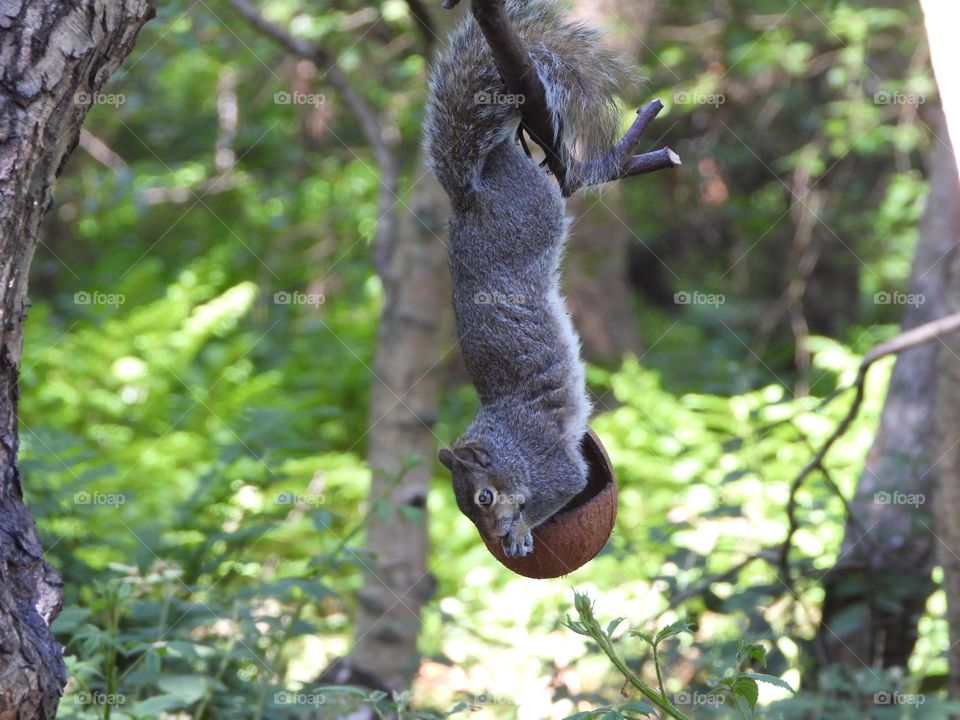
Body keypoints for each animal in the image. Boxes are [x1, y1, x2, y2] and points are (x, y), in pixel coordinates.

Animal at [424, 0, 630, 558]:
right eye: (464, 509)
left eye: (484, 497)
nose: (493, 535)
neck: (508, 445)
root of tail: (469, 195)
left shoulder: (551, 465)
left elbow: (563, 489)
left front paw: (520, 530)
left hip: (534, 213)